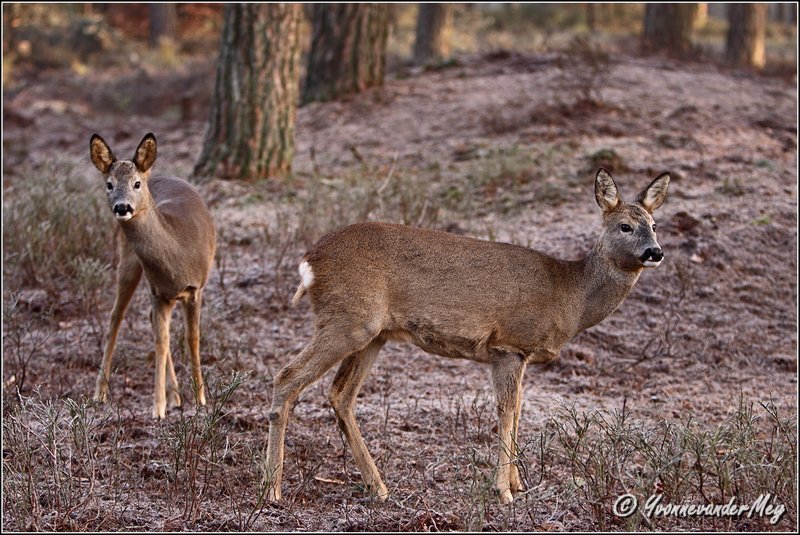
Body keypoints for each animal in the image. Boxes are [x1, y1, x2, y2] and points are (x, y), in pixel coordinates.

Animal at [90, 133, 217, 418]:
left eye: (136, 183)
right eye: (109, 184)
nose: (122, 207)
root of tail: (157, 174)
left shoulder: (196, 288)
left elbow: (192, 339)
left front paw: (201, 398)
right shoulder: (157, 291)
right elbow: (162, 341)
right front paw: (157, 408)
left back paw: (177, 396)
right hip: (128, 260)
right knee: (116, 317)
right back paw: (99, 393)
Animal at [264, 170, 668, 504]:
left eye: (654, 224)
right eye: (625, 226)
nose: (655, 252)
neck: (570, 294)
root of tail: (309, 263)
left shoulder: (522, 354)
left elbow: (519, 410)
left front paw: (518, 482)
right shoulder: (508, 344)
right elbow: (507, 411)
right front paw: (504, 490)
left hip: (372, 334)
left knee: (340, 394)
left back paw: (378, 487)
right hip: (347, 320)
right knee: (286, 377)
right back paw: (272, 490)